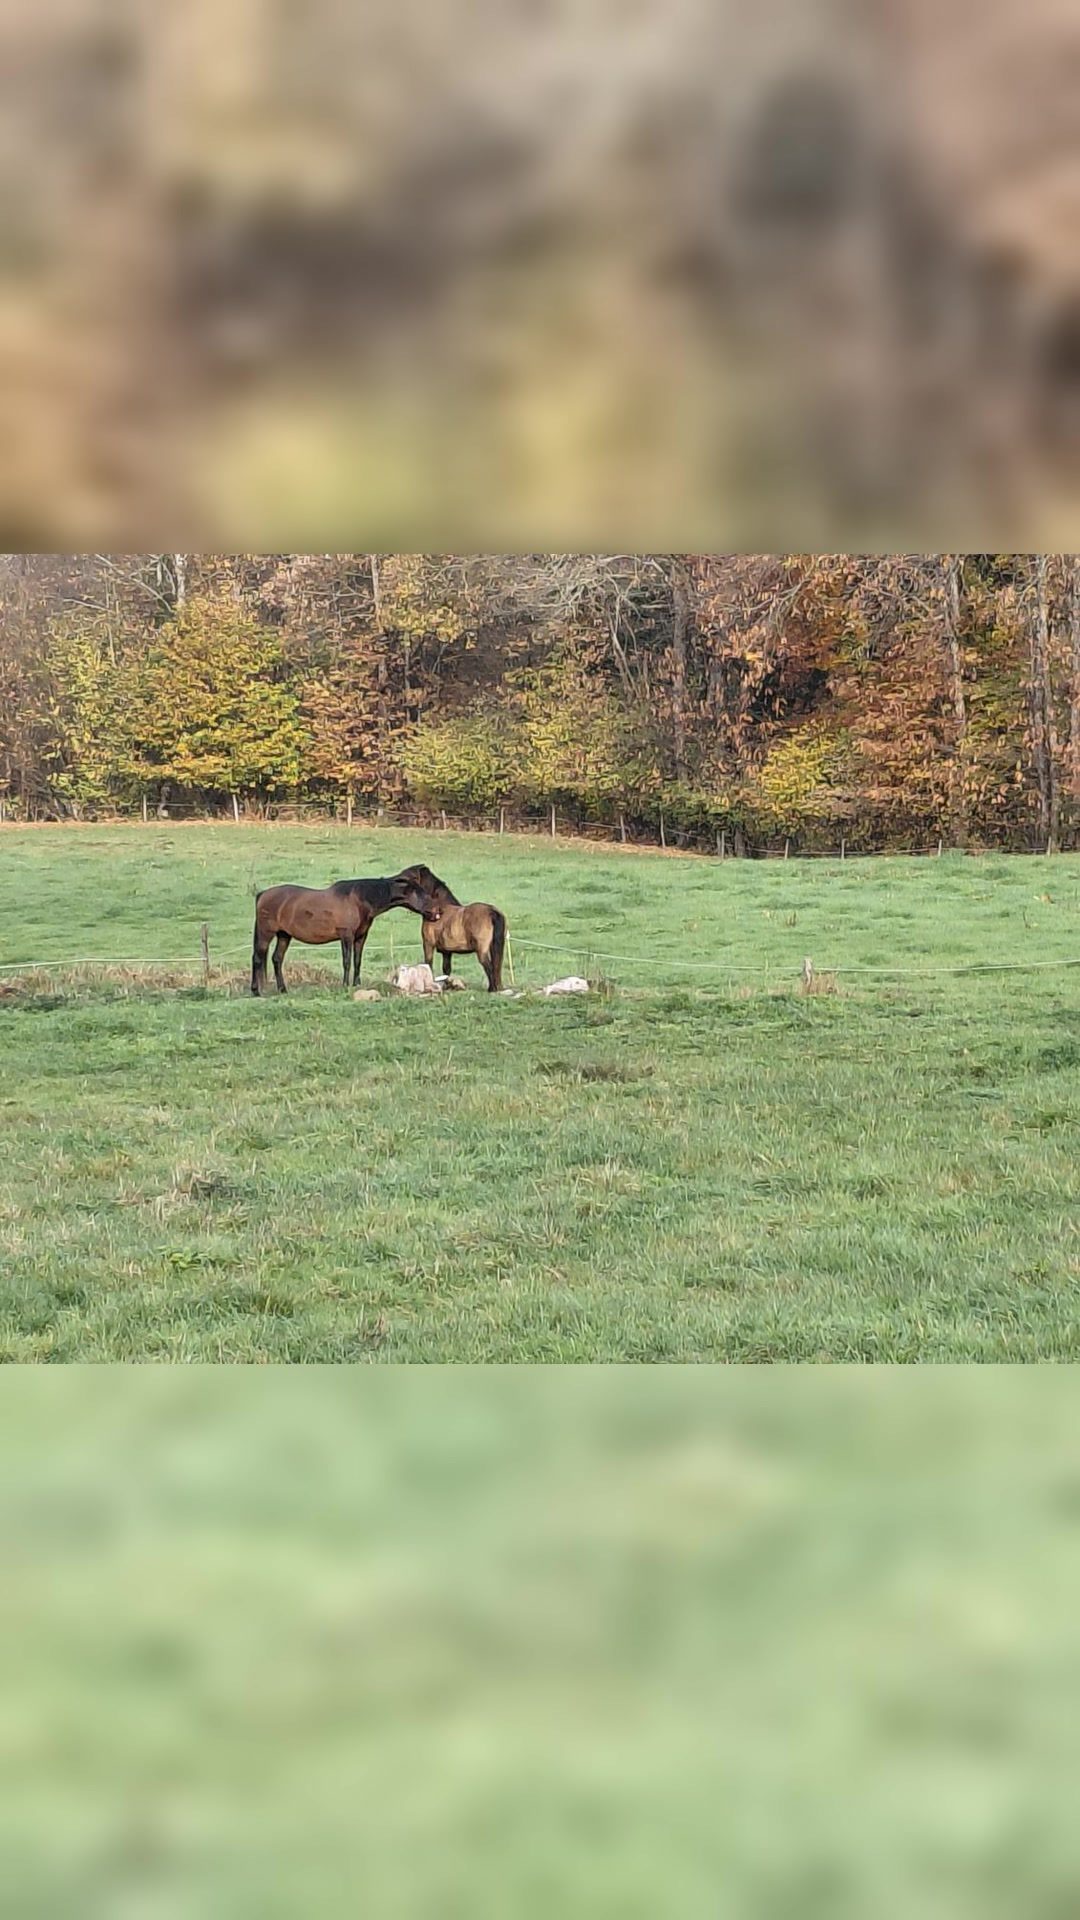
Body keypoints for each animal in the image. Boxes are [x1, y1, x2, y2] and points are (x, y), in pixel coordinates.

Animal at [251, 875, 435, 996]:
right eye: (419, 893)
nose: (435, 911)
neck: (358, 900)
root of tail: (262, 894)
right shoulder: (346, 936)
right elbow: (347, 961)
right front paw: (346, 985)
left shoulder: (360, 937)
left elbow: (357, 960)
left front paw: (356, 984)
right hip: (266, 933)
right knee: (258, 959)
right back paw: (256, 991)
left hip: (284, 935)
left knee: (277, 959)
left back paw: (282, 990)